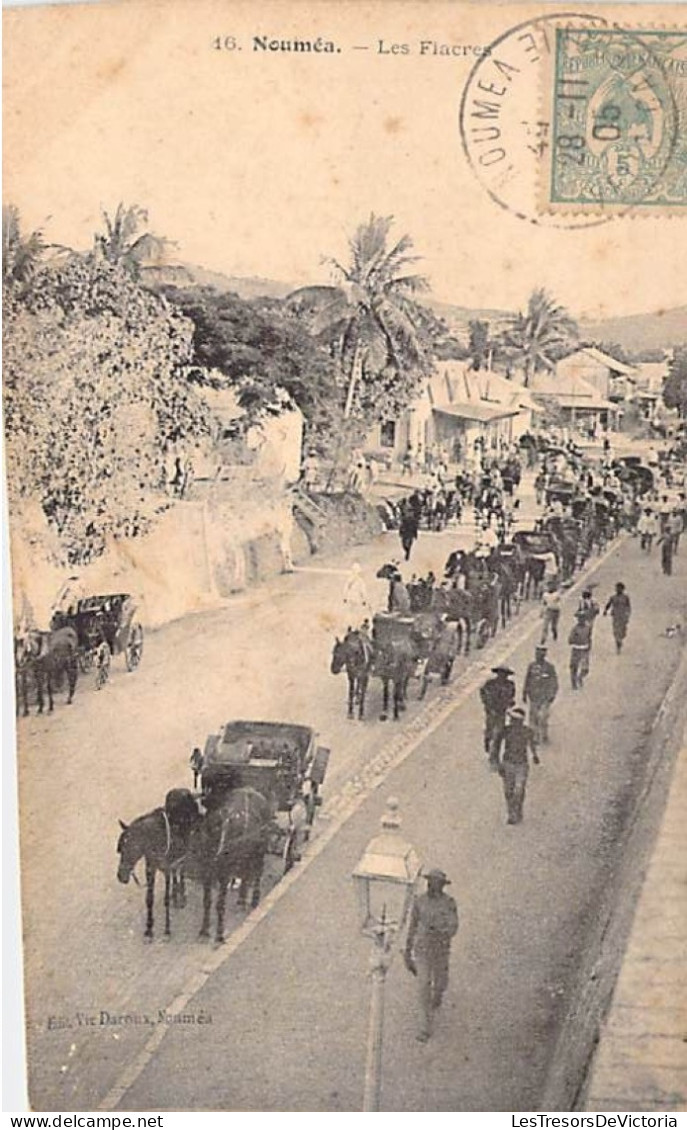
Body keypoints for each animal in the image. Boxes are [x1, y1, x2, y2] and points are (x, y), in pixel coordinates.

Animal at [115, 791, 199, 940]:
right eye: (121, 848)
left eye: (131, 848)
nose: (121, 876)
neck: (157, 838)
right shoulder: (151, 868)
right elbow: (149, 899)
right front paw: (149, 930)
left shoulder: (166, 868)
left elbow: (165, 899)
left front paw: (167, 930)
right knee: (176, 874)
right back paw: (175, 895)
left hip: (184, 853)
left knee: (181, 871)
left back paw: (181, 896)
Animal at [192, 786, 272, 944]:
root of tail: (250, 789)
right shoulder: (207, 873)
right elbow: (207, 901)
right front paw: (204, 931)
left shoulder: (224, 874)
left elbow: (220, 904)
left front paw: (219, 934)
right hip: (246, 854)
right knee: (247, 874)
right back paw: (242, 900)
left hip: (260, 849)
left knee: (258, 871)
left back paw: (254, 899)